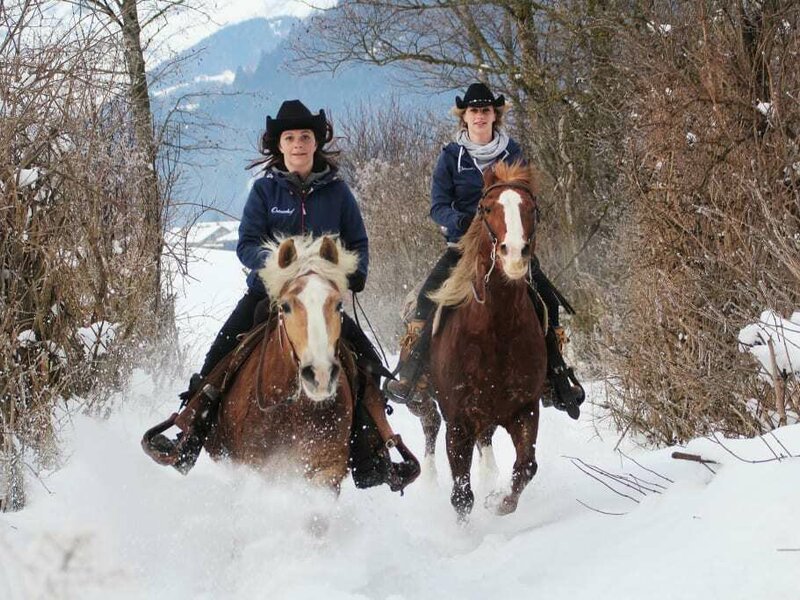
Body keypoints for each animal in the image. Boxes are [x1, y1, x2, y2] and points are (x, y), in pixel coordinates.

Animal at [412, 162, 544, 516]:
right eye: (486, 208)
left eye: (531, 209)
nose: (515, 255)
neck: (495, 330)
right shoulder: (458, 422)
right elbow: (461, 496)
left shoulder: (524, 409)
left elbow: (526, 467)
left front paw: (499, 502)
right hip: (424, 400)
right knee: (430, 428)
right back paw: (427, 481)